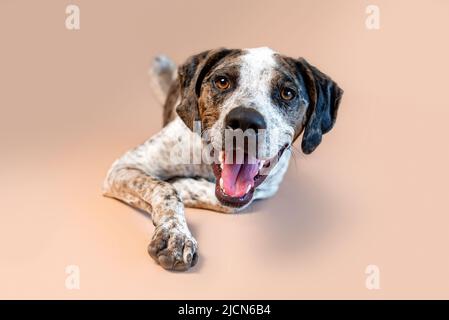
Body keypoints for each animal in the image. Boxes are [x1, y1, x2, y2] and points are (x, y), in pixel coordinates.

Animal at [102, 47, 344, 270]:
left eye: (287, 93)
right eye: (222, 81)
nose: (245, 121)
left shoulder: (268, 186)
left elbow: (231, 203)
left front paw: (184, 185)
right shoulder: (125, 166)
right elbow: (164, 189)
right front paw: (175, 236)